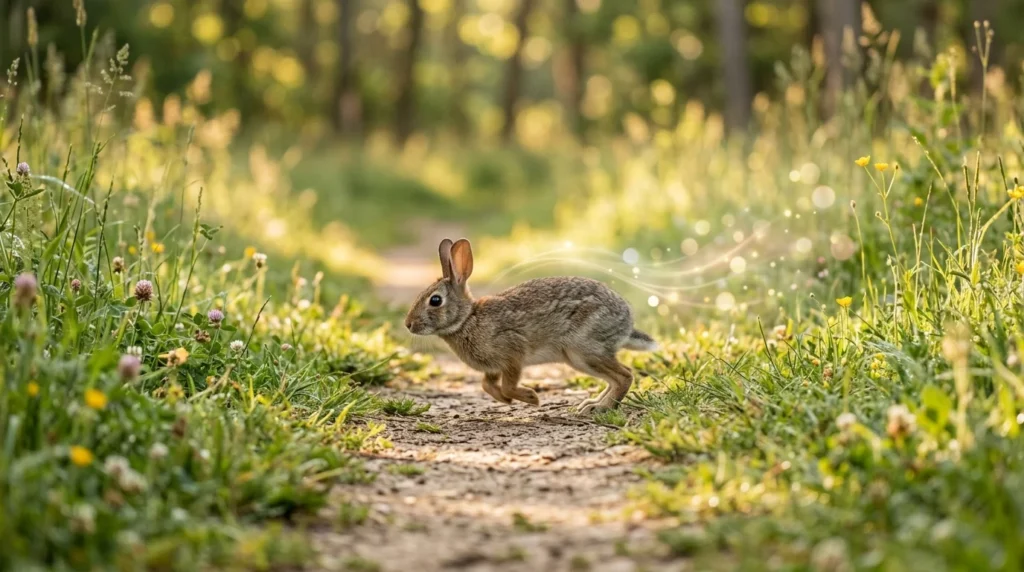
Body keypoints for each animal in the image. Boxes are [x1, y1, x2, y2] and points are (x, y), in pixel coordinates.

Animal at [404, 238, 658, 414]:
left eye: (435, 300)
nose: (408, 324)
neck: (467, 319)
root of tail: (626, 323)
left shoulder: (513, 353)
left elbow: (508, 384)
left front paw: (531, 398)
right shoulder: (493, 368)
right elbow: (487, 385)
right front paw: (506, 400)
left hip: (585, 350)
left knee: (625, 376)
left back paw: (600, 408)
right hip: (578, 358)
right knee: (616, 378)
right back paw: (592, 404)